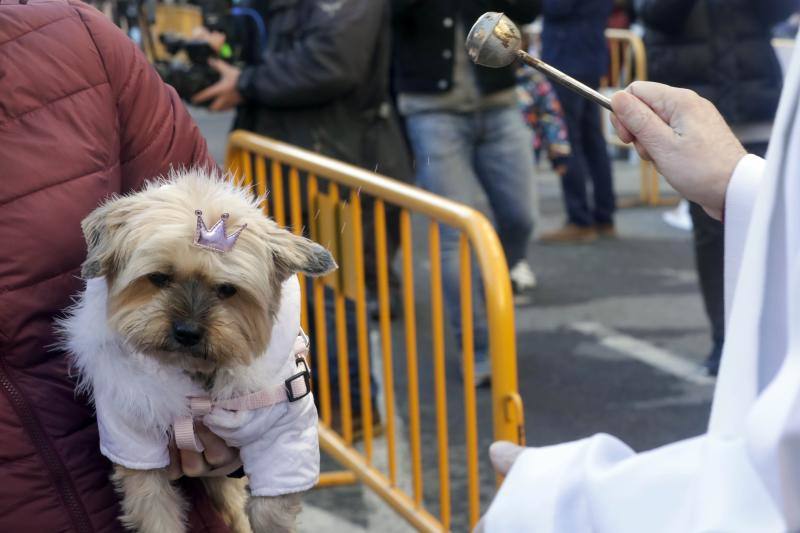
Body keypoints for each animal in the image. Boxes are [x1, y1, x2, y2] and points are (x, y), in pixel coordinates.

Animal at [60, 170, 334, 532]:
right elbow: (153, 506)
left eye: (228, 290)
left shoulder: (283, 427)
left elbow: (272, 505)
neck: (198, 382)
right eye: (158, 277)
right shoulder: (132, 433)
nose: (187, 332)